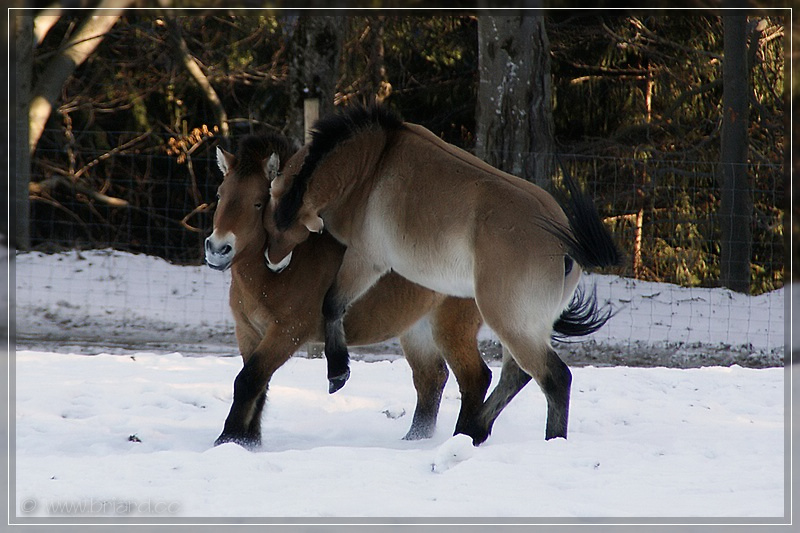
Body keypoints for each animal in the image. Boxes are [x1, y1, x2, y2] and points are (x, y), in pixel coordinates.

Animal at [203, 131, 494, 446]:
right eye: (220, 195)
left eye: (258, 202)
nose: (218, 249)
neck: (274, 275)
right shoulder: (248, 331)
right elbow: (258, 382)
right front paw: (249, 440)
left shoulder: (286, 333)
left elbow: (249, 379)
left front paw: (229, 438)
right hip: (417, 329)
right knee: (431, 379)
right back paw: (414, 440)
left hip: (451, 329)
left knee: (475, 379)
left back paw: (464, 437)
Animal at [266, 105, 620, 440]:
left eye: (272, 208)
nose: (272, 261)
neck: (372, 165)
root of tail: (565, 242)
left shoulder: (366, 259)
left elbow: (332, 304)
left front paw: (337, 372)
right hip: (525, 325)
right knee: (516, 374)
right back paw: (472, 430)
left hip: (510, 322)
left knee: (553, 378)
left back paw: (545, 439)